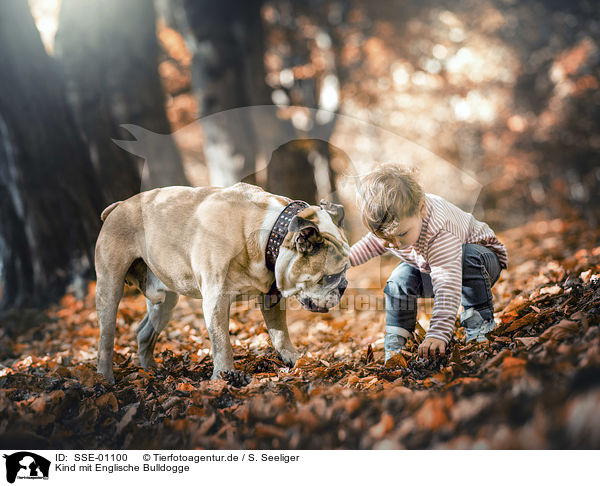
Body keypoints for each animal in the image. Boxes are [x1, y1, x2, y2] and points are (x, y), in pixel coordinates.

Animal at [95, 183, 350, 384]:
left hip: (165, 302)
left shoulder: (271, 297)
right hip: (109, 288)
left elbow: (280, 332)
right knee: (106, 338)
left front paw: (293, 358)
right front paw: (224, 375)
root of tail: (118, 206)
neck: (265, 231)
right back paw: (105, 379)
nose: (344, 286)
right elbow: (222, 342)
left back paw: (152, 371)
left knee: (144, 333)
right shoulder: (215, 300)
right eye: (330, 277)